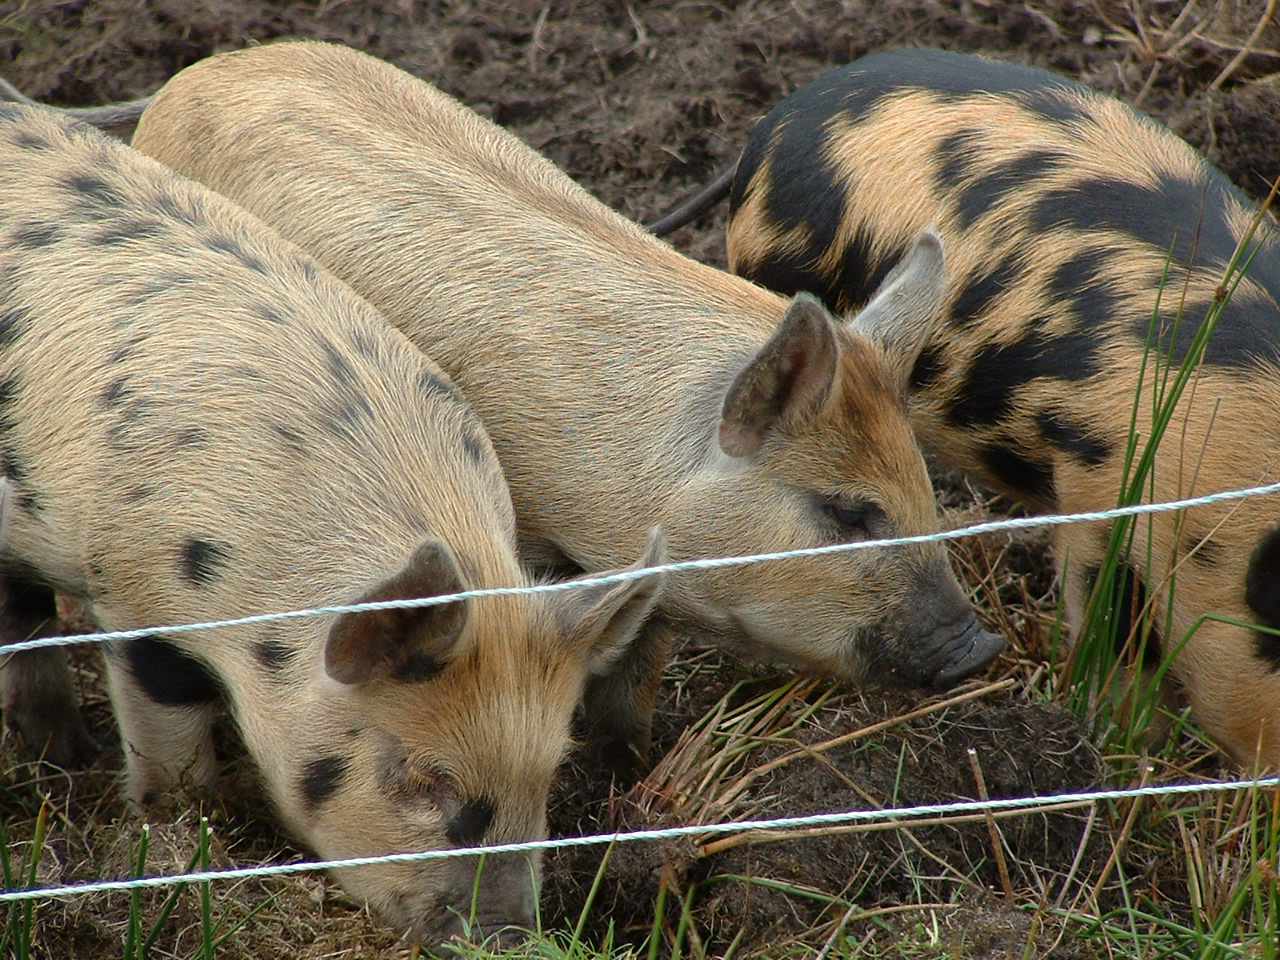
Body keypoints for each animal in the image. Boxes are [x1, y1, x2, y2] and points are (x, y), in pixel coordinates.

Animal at [0, 102, 666, 945]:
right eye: (422, 779)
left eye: (550, 773)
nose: (510, 938)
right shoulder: (133, 588)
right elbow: (166, 732)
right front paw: (183, 823)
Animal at [93, 40, 1005, 770]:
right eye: (848, 511)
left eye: (926, 491)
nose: (981, 646)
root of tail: (194, 73)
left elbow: (635, 672)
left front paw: (630, 768)